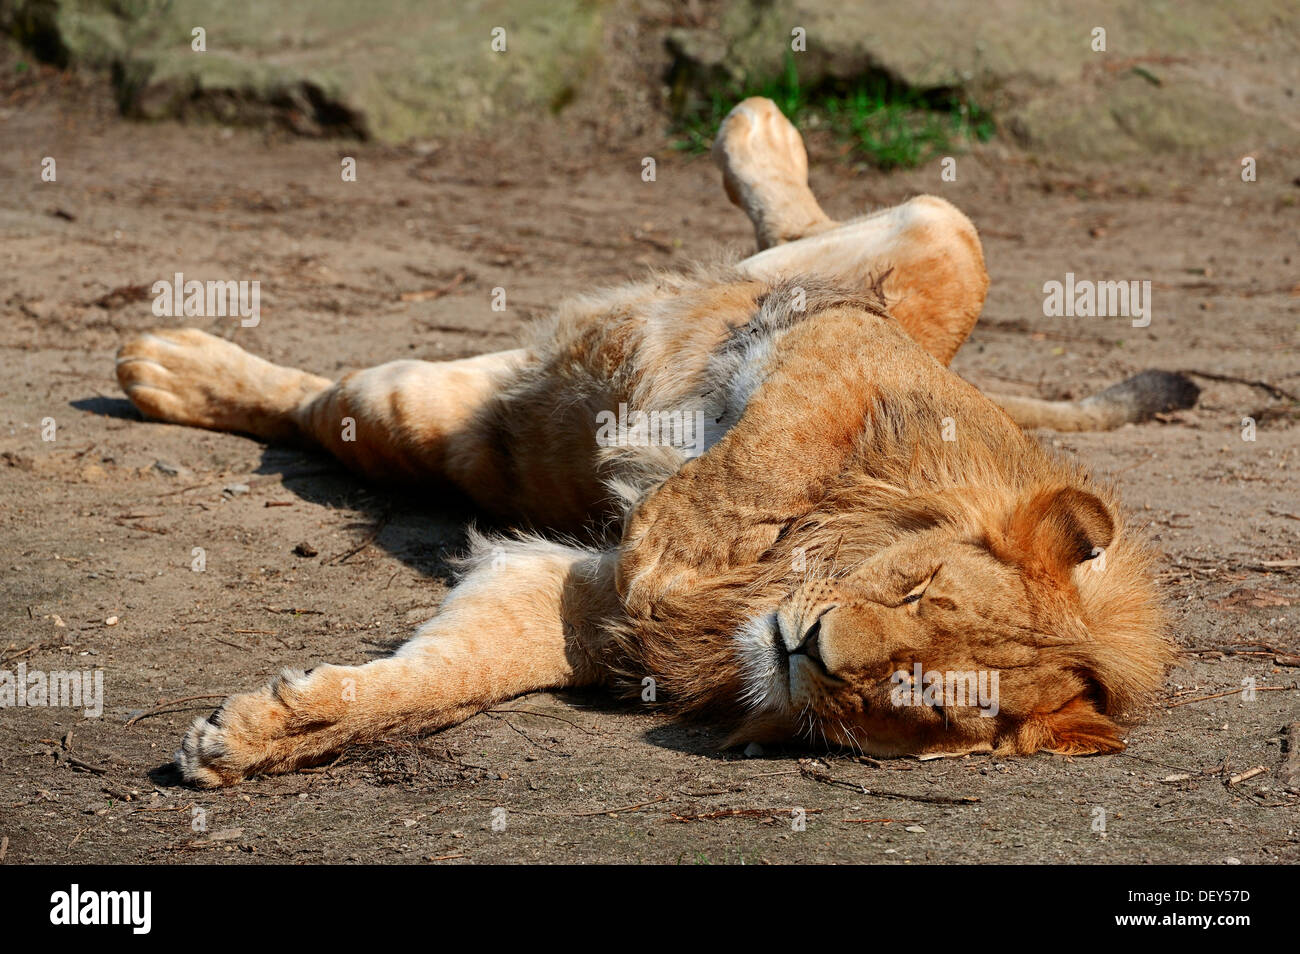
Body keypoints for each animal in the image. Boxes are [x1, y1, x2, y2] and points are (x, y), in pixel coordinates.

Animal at [114, 98, 1186, 787]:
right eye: (917, 589)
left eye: (923, 698)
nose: (808, 647)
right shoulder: (837, 351)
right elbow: (758, 456)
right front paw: (671, 545)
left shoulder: (581, 605)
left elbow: (450, 676)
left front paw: (271, 733)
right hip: (915, 257)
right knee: (899, 226)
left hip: (452, 432)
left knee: (332, 410)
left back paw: (162, 368)